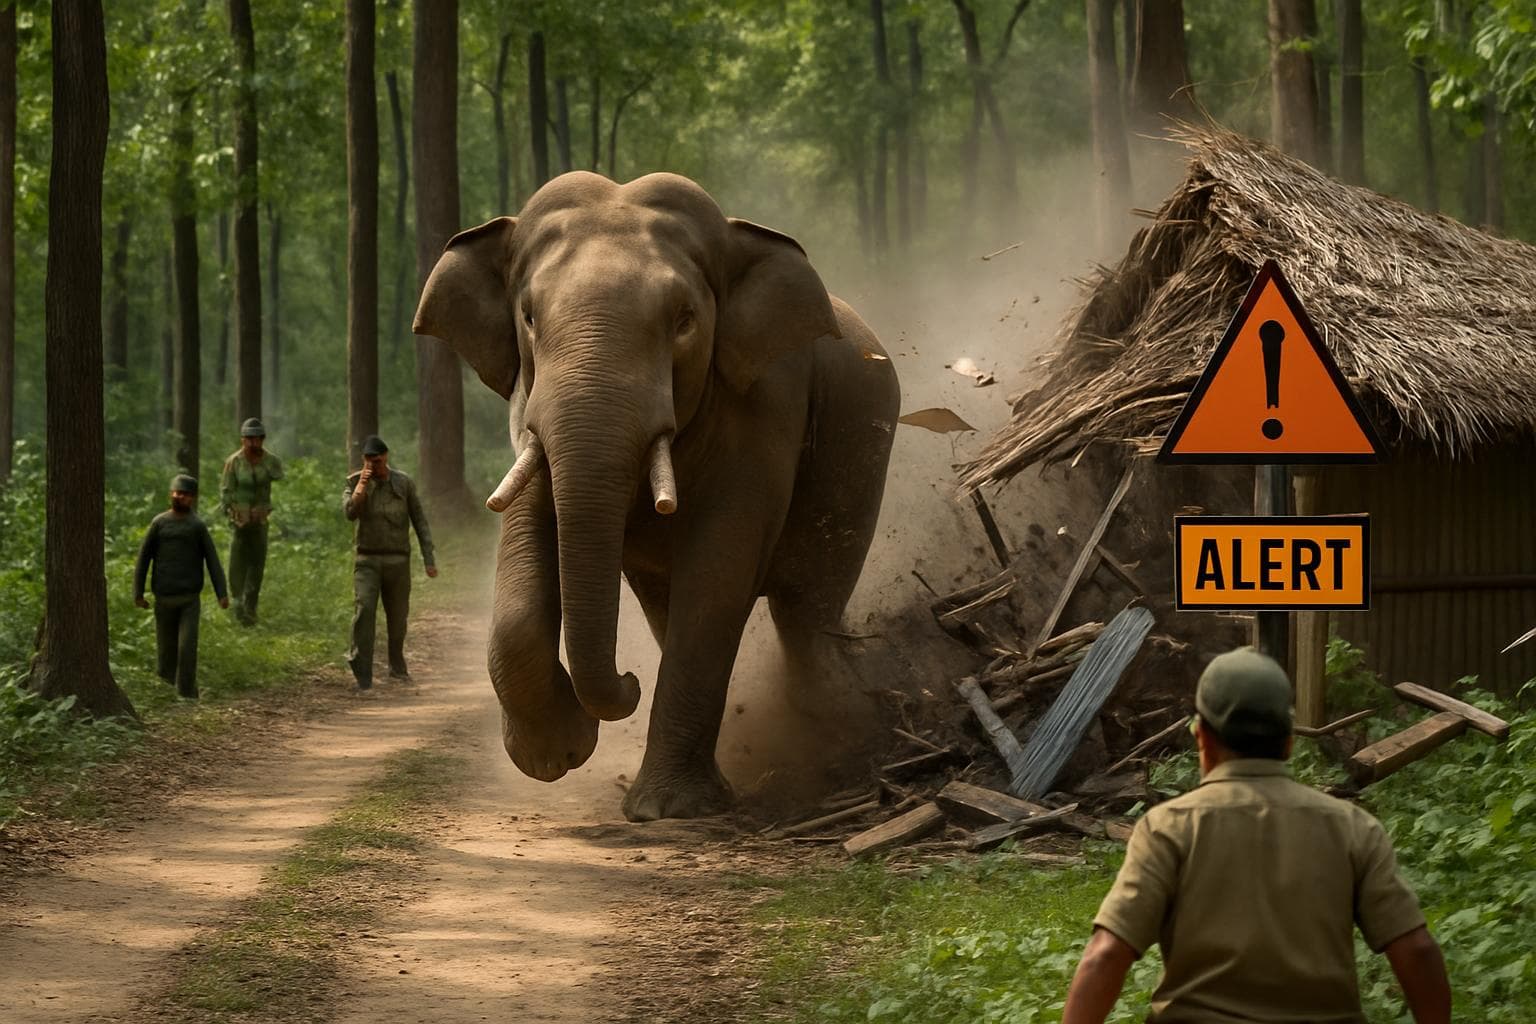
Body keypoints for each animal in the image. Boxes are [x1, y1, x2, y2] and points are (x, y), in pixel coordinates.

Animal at [413, 170, 900, 821]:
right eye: (530, 318)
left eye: (685, 320)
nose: (628, 682)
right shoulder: (526, 403)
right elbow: (525, 547)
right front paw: (556, 755)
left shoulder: (767, 403)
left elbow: (719, 569)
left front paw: (666, 811)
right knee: (679, 609)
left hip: (862, 460)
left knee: (805, 608)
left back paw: (838, 723)